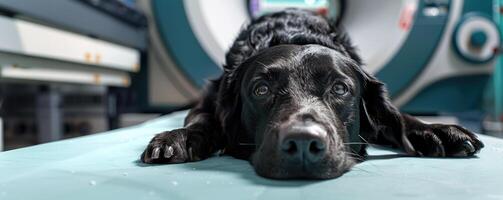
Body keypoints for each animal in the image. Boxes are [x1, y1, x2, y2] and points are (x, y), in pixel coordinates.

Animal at [141, 9, 484, 179]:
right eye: (261, 89)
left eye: (340, 88)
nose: (303, 144)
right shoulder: (210, 99)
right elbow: (201, 119)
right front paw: (179, 138)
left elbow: (399, 117)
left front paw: (437, 131)